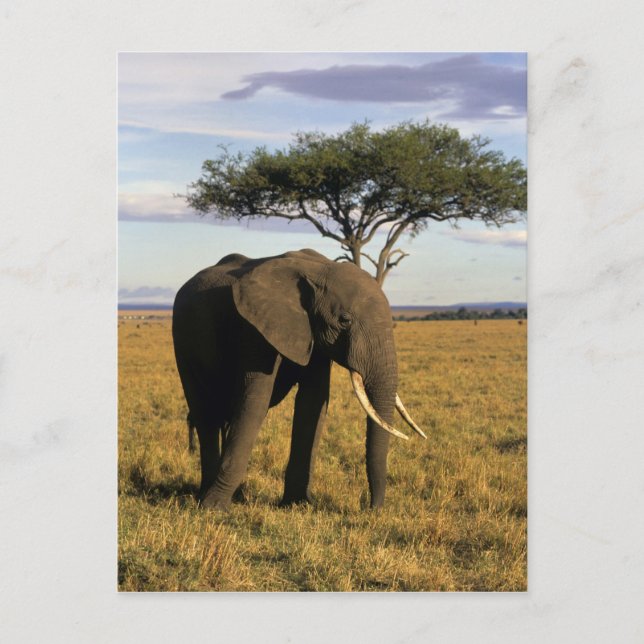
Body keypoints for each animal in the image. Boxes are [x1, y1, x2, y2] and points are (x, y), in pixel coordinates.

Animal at [172, 248, 425, 511]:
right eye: (344, 320)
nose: (371, 508)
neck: (317, 270)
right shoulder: (255, 328)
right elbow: (255, 402)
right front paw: (214, 509)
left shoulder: (313, 335)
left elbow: (313, 403)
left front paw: (299, 504)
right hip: (183, 343)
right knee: (206, 414)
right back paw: (206, 496)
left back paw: (236, 495)